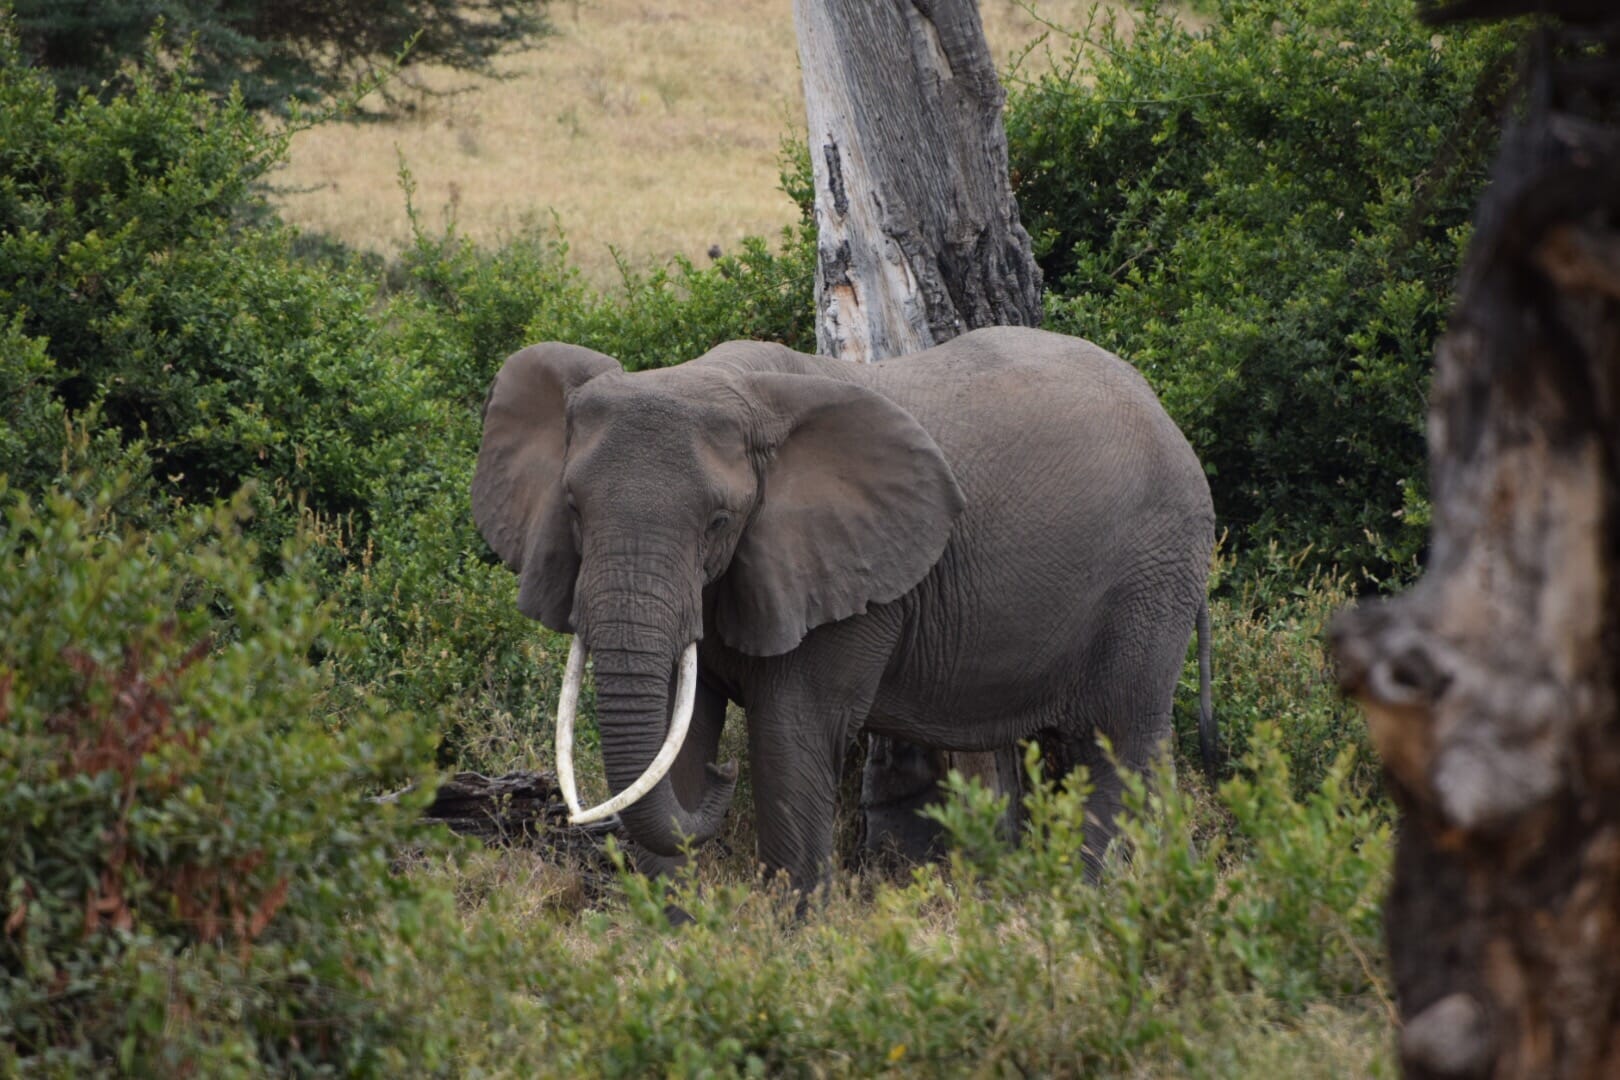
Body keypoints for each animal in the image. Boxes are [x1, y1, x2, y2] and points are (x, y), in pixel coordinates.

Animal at [471, 325, 1216, 892]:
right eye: (572, 509)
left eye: (718, 522)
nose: (722, 776)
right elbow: (680, 736)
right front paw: (674, 936)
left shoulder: (845, 579)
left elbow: (791, 734)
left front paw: (790, 942)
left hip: (1154, 575)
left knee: (1118, 739)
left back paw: (1092, 899)